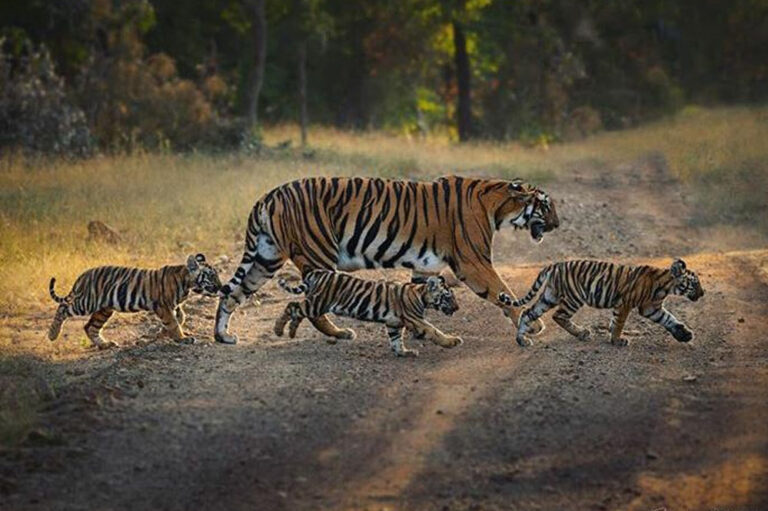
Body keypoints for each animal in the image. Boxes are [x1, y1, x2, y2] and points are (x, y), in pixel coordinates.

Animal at [48, 254, 222, 349]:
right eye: (211, 276)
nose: (222, 287)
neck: (187, 283)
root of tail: (82, 275)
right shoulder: (163, 305)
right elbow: (173, 322)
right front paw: (182, 338)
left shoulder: (173, 305)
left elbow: (180, 317)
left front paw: (163, 333)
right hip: (87, 302)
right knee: (63, 307)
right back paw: (52, 335)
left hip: (104, 309)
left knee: (90, 327)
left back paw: (105, 345)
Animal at [215, 175, 559, 345]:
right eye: (546, 206)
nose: (557, 224)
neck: (498, 206)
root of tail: (267, 196)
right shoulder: (472, 263)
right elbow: (504, 292)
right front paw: (533, 324)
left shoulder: (426, 265)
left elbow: (420, 299)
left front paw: (419, 332)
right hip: (317, 255)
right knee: (313, 307)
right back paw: (340, 334)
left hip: (266, 258)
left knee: (231, 295)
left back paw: (223, 336)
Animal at [274, 270, 460, 357]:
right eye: (448, 296)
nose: (457, 308)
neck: (421, 294)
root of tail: (319, 272)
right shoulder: (416, 320)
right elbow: (435, 331)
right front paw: (452, 341)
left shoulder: (394, 323)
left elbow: (396, 340)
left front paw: (404, 353)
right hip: (318, 303)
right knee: (292, 307)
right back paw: (278, 330)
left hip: (315, 303)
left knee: (297, 311)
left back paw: (291, 332)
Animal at [513, 258, 704, 347]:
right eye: (695, 284)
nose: (703, 293)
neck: (666, 286)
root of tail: (555, 265)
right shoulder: (625, 303)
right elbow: (619, 323)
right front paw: (617, 340)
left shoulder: (651, 308)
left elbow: (669, 320)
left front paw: (684, 335)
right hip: (574, 298)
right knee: (558, 316)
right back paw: (582, 333)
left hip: (549, 297)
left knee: (527, 313)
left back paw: (522, 340)